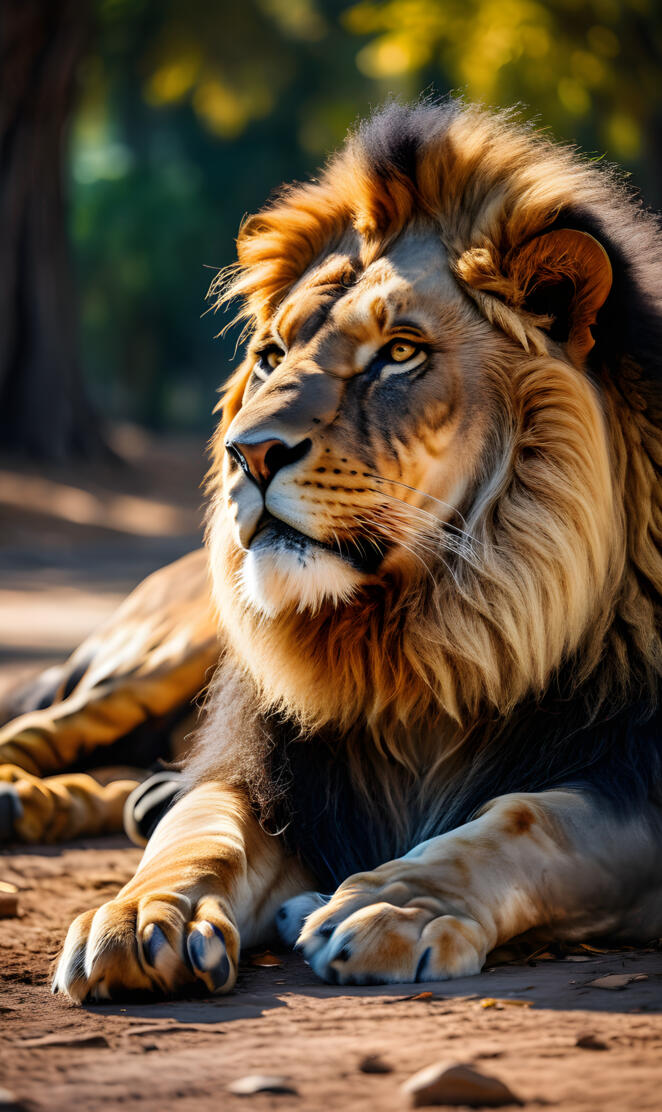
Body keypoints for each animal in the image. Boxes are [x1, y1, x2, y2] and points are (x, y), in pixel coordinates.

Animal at [12, 98, 662, 999]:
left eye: (400, 353)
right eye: (270, 357)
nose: (247, 453)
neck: (427, 643)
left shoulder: (634, 776)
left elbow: (536, 819)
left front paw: (396, 905)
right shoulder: (267, 770)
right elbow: (199, 828)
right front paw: (142, 913)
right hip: (165, 649)